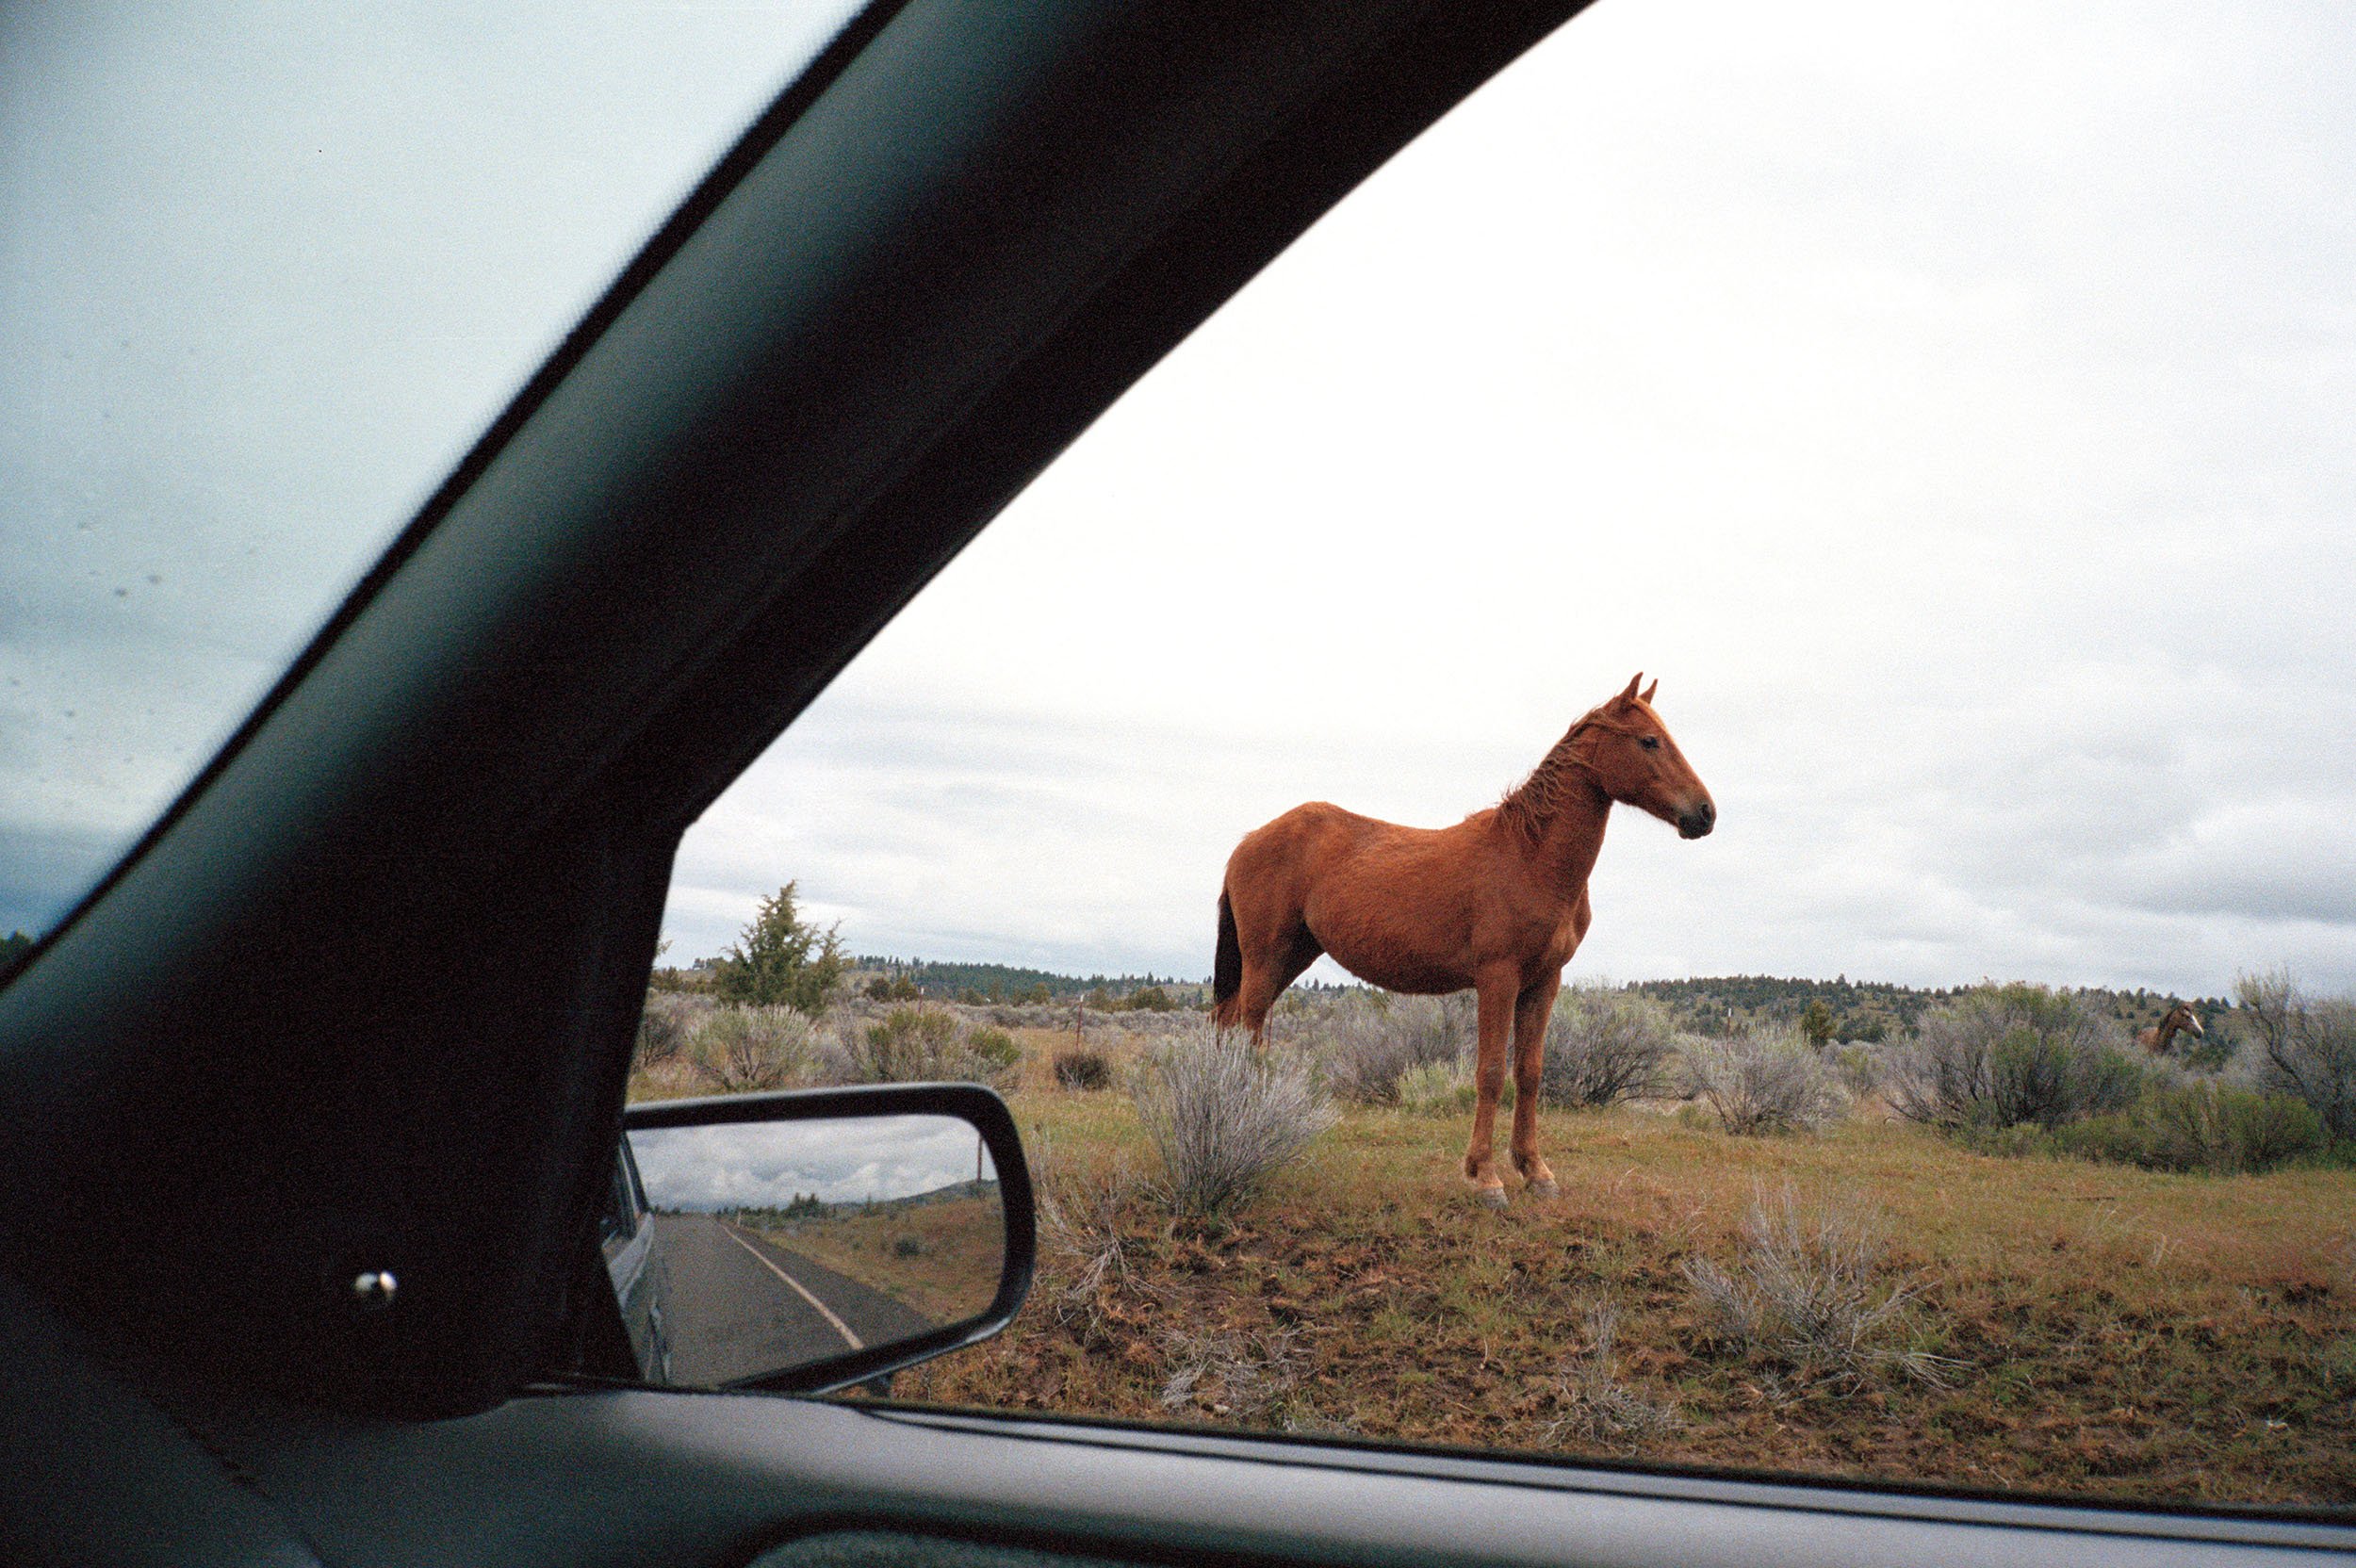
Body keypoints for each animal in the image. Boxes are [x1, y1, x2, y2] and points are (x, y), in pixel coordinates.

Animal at [1211, 674, 1714, 1208]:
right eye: (1649, 741)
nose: (1704, 814)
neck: (1530, 857)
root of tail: (1248, 842)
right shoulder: (1498, 978)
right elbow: (1490, 1073)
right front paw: (1486, 1177)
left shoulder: (1544, 982)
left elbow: (1529, 1074)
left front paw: (1536, 1172)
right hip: (1267, 958)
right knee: (1245, 1031)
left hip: (1290, 957)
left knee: (1232, 1024)